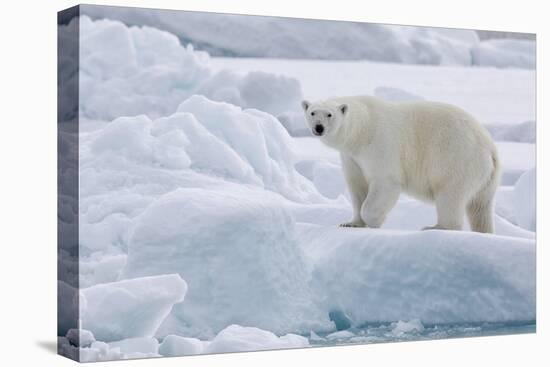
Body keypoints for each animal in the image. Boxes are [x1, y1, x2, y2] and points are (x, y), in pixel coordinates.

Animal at [304, 95, 502, 233]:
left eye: (329, 114)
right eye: (312, 112)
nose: (319, 127)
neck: (362, 129)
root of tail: (490, 148)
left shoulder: (380, 144)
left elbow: (385, 182)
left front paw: (374, 221)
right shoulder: (352, 157)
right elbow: (357, 186)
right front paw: (351, 223)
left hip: (456, 160)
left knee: (450, 195)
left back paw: (437, 227)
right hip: (485, 179)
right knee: (480, 208)